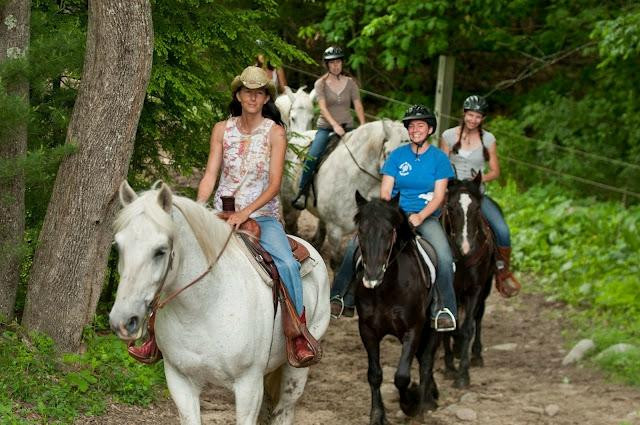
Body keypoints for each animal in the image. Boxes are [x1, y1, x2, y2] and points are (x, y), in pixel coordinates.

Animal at [108, 182, 331, 425]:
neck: (202, 309)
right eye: (118, 247)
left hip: (296, 370)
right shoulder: (180, 381)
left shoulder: (248, 386)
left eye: (160, 251)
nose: (123, 320)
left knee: (284, 410)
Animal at [354, 191, 439, 424]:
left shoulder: (413, 329)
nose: (372, 277)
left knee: (426, 361)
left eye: (388, 232)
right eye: (361, 231)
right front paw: (377, 415)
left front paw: (410, 404)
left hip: (434, 328)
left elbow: (402, 376)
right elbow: (375, 374)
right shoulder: (367, 330)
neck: (387, 289)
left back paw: (425, 402)